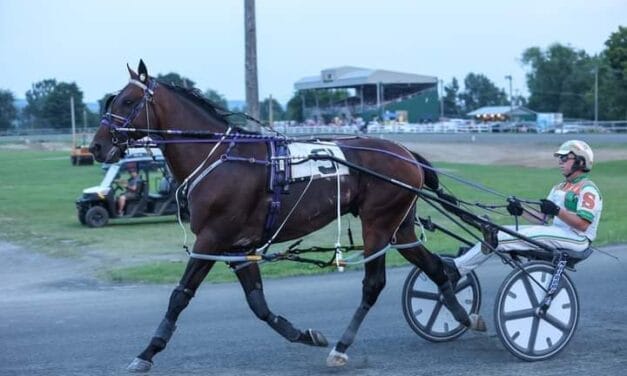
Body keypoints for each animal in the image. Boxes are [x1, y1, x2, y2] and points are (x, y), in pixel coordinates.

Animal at [89, 60, 486, 372]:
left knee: (374, 284)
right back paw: (463, 314)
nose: (96, 146)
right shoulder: (237, 247)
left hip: (378, 223)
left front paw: (147, 352)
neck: (219, 157)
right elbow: (258, 304)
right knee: (436, 268)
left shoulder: (211, 238)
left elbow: (180, 295)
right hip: (399, 225)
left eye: (127, 101)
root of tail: (406, 152)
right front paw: (304, 334)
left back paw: (342, 347)